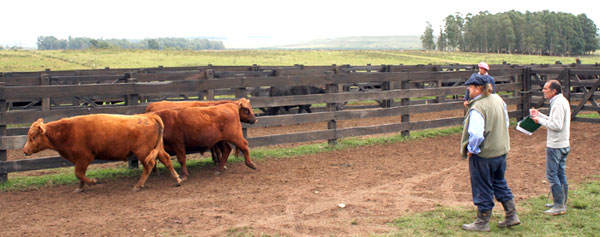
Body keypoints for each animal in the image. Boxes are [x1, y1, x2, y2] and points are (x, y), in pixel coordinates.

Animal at [23, 113, 182, 193]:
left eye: (34, 137)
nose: (25, 151)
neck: (66, 131)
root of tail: (150, 116)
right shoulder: (80, 159)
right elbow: (80, 174)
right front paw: (80, 188)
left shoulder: (84, 157)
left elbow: (78, 173)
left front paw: (92, 182)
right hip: (156, 148)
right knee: (166, 159)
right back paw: (177, 179)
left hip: (143, 151)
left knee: (149, 165)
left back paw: (138, 185)